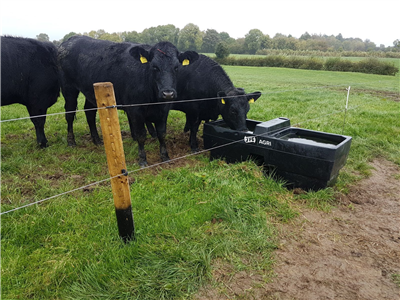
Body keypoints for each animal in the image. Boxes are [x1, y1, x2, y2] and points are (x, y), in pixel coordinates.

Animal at [57, 35, 198, 166]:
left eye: (176, 67)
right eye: (154, 67)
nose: (168, 93)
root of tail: (72, 38)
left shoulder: (164, 109)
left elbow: (162, 133)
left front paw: (165, 156)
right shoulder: (136, 109)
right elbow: (141, 135)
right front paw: (142, 159)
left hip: (91, 92)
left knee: (89, 112)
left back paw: (97, 140)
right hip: (68, 88)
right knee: (69, 114)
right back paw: (71, 141)